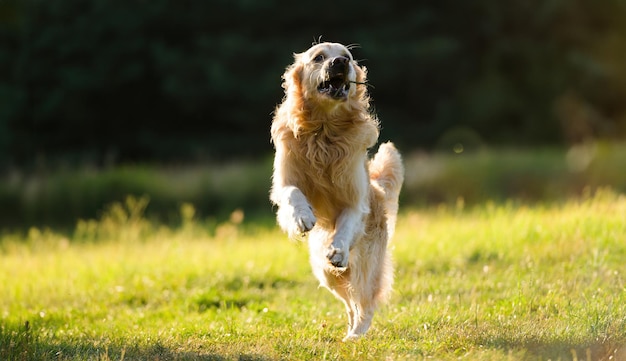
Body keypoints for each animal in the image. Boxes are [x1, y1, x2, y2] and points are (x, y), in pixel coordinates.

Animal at [270, 42, 404, 340]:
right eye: (318, 57)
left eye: (348, 56)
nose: (340, 63)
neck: (324, 130)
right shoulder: (283, 182)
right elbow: (292, 193)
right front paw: (302, 217)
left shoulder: (355, 202)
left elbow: (346, 225)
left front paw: (339, 248)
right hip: (326, 273)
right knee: (350, 304)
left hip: (366, 264)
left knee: (366, 301)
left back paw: (357, 334)